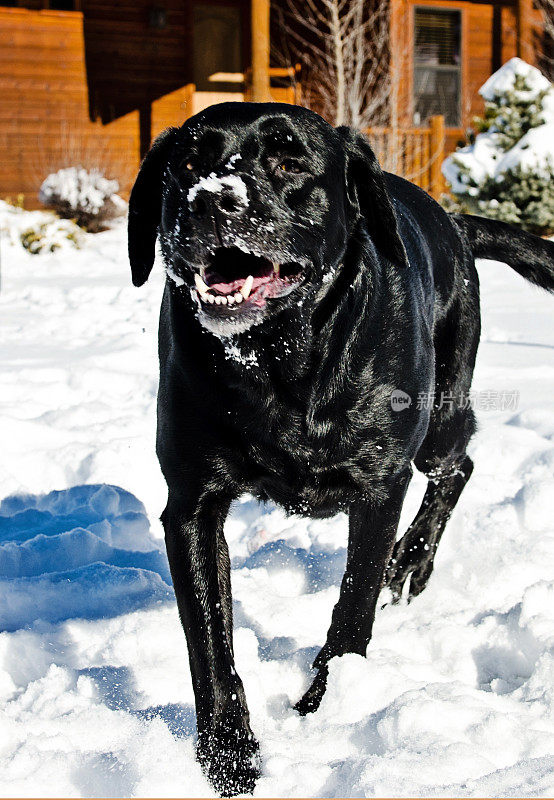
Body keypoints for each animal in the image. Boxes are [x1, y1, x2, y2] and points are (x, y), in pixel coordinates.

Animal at [128, 101, 552, 792]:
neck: (280, 365)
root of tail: (455, 223)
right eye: (187, 163)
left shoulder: (379, 487)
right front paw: (229, 756)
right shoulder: (191, 505)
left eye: (289, 160)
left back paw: (410, 564)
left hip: (440, 418)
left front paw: (324, 706)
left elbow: (354, 606)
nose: (212, 199)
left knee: (458, 465)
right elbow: (210, 642)